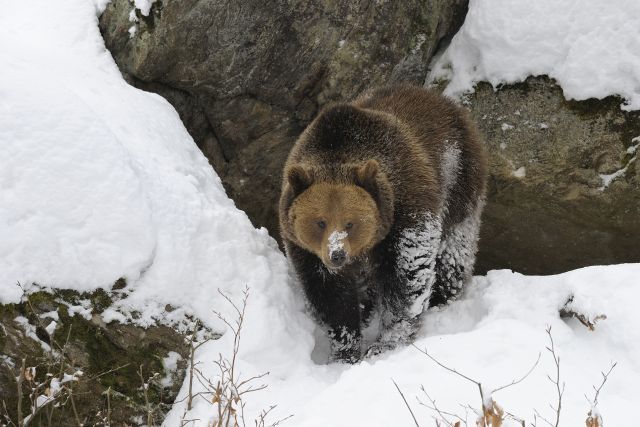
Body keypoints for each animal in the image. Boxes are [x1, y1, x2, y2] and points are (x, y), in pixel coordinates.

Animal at [278, 83, 484, 362]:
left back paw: (442, 297)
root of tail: (445, 101)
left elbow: (406, 277)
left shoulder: (406, 211)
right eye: (320, 222)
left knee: (454, 249)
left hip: (459, 181)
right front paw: (344, 350)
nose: (337, 254)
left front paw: (386, 344)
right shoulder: (306, 251)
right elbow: (330, 295)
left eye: (350, 223)